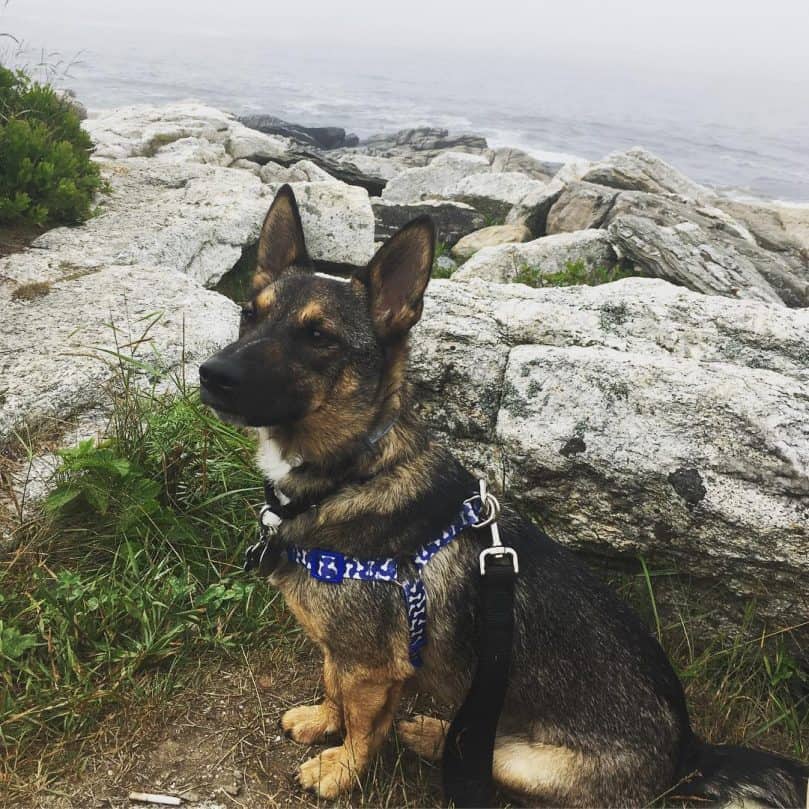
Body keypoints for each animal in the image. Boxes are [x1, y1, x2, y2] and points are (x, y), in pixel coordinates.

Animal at [199, 185, 804, 808]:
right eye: (249, 313)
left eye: (318, 336)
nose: (210, 374)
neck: (353, 473)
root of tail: (689, 754)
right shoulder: (343, 653)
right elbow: (332, 683)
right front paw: (324, 721)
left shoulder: (371, 668)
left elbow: (364, 725)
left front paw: (342, 768)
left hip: (521, 760)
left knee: (482, 756)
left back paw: (435, 737)